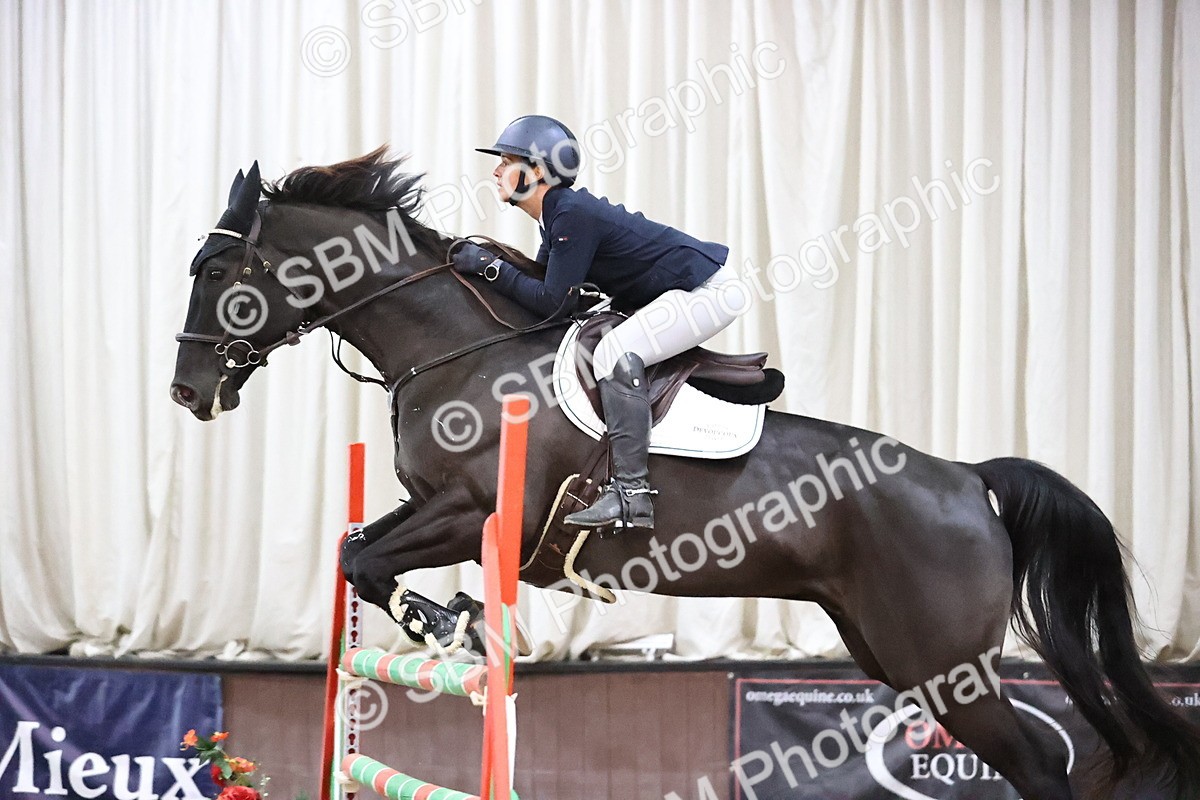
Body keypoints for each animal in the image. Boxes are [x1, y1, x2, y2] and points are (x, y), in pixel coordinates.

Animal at [170, 149, 1200, 799]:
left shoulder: (476, 514)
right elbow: (357, 550)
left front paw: (442, 616)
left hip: (943, 662)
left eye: (217, 270)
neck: (454, 349)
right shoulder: (428, 506)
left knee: (1039, 764)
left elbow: (369, 563)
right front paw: (440, 613)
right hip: (890, 649)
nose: (187, 392)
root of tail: (965, 477)